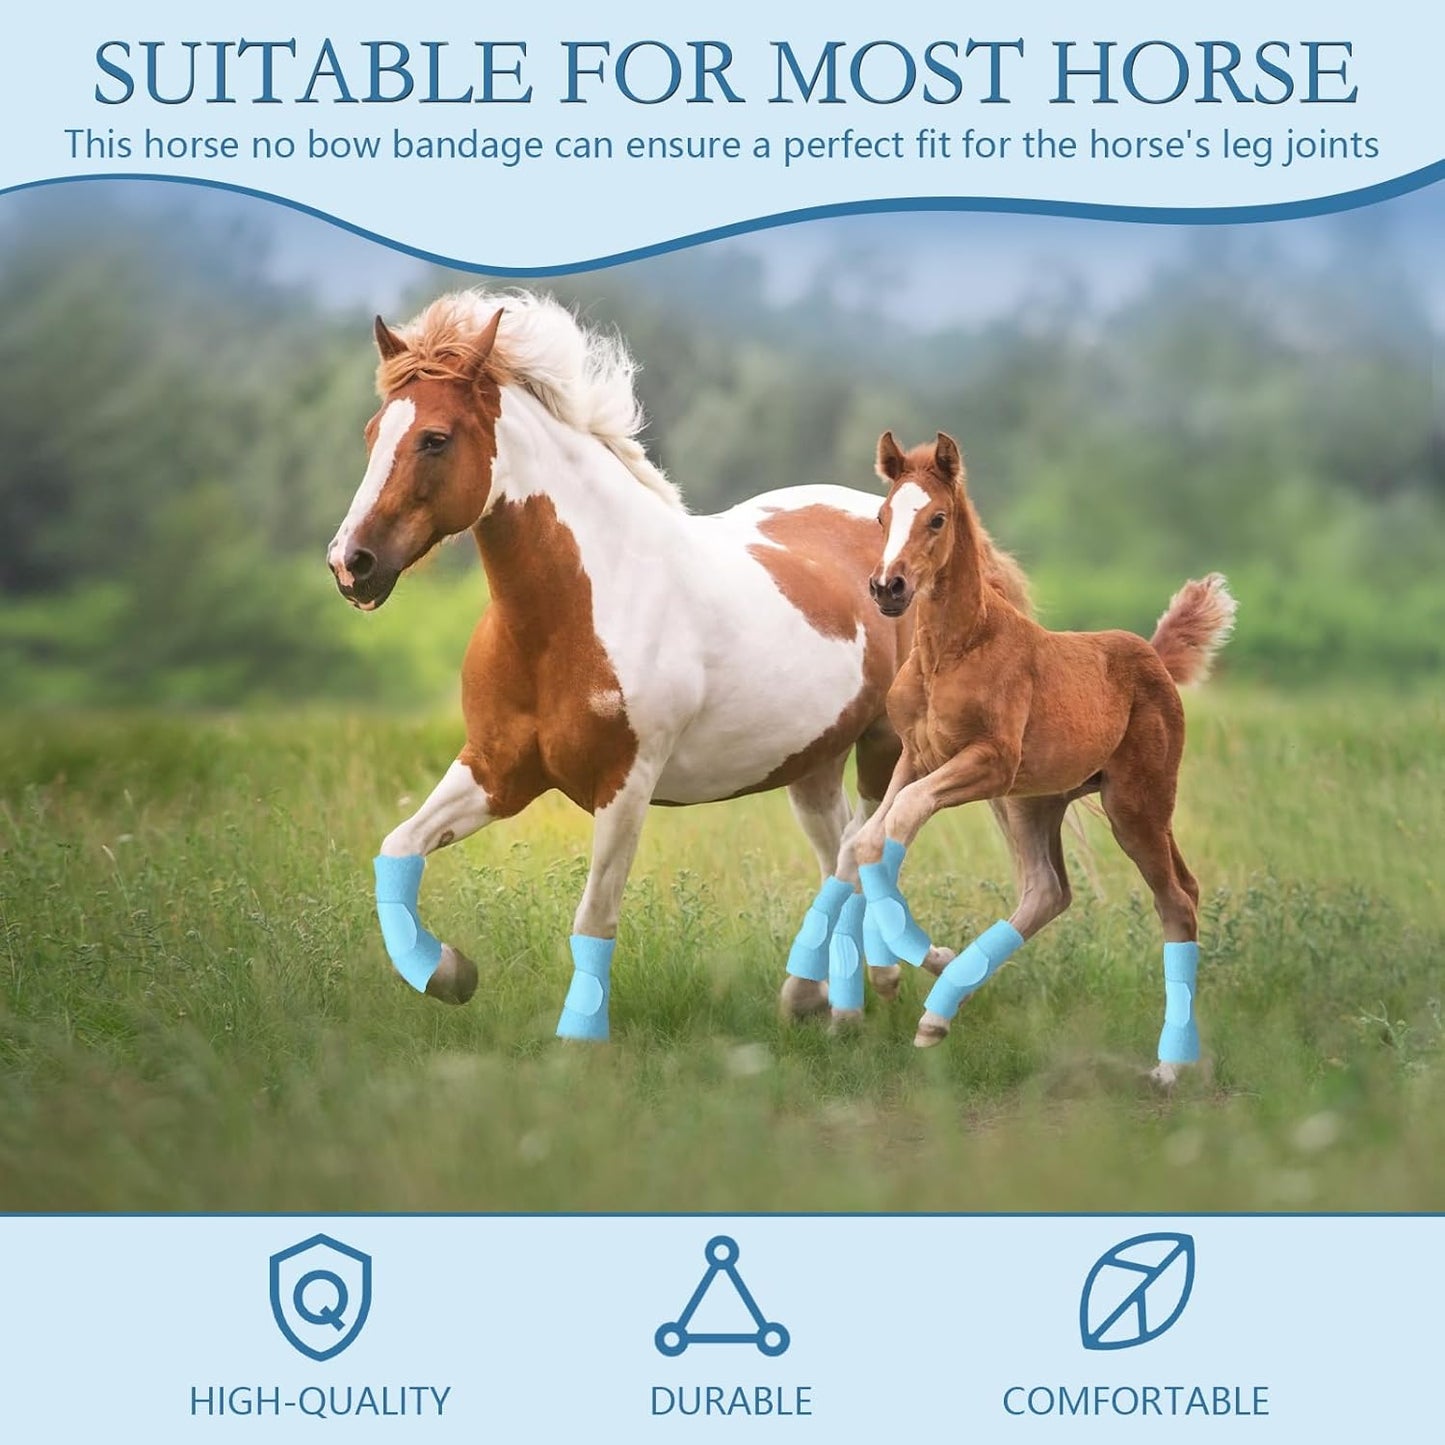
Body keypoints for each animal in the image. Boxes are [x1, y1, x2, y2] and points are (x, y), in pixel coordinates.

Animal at [325, 291, 1042, 1038]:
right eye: (373, 432)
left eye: (435, 438)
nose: (351, 564)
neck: (573, 612)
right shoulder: (496, 771)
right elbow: (397, 848)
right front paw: (450, 973)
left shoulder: (625, 784)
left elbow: (594, 918)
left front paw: (579, 1039)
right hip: (812, 763)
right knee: (840, 850)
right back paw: (842, 989)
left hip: (885, 747)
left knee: (863, 847)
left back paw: (850, 985)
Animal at [845, 430, 1235, 1082]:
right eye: (882, 517)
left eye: (937, 518)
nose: (887, 588)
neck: (951, 652)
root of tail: (1153, 657)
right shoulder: (917, 757)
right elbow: (870, 839)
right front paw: (906, 967)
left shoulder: (987, 760)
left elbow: (898, 820)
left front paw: (918, 954)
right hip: (1035, 802)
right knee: (1050, 891)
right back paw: (938, 1015)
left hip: (1135, 805)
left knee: (1177, 901)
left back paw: (1169, 1067)